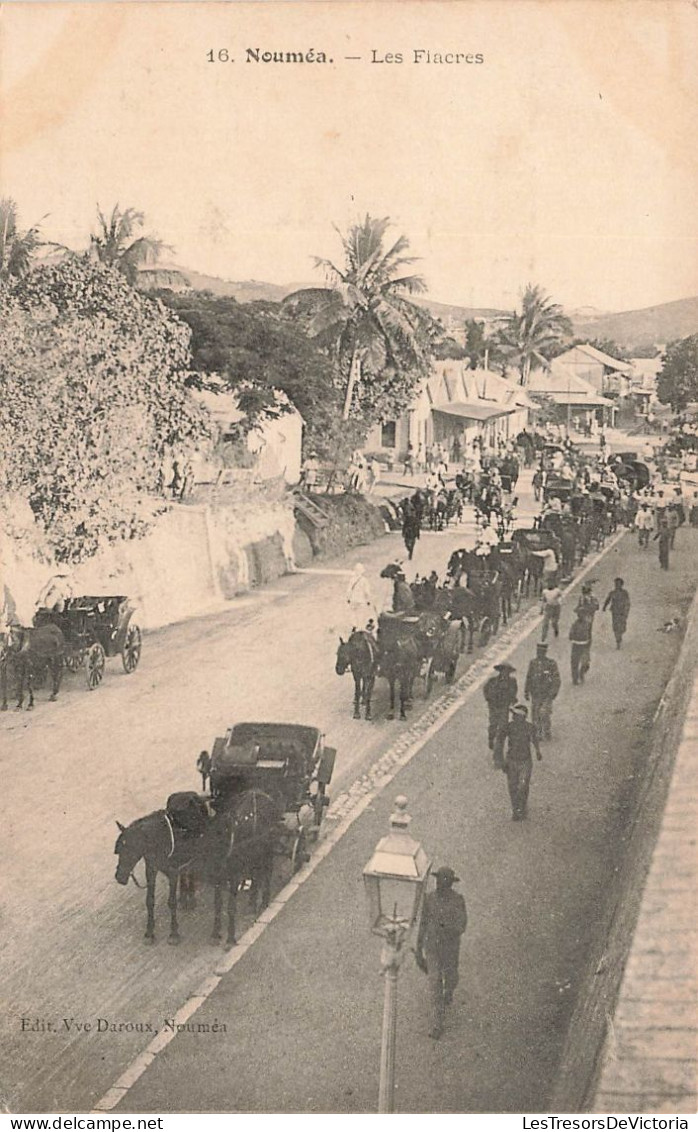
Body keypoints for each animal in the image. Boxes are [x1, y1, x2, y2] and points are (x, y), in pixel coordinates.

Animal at [113, 796, 207, 946]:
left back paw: (191, 897)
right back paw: (184, 897)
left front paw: (174, 933)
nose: (120, 877)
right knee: (185, 872)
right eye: (120, 850)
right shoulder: (151, 869)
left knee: (191, 871)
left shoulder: (172, 873)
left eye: (132, 849)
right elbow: (149, 901)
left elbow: (171, 902)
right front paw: (149, 932)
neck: (160, 840)